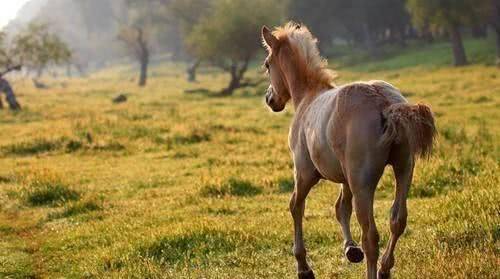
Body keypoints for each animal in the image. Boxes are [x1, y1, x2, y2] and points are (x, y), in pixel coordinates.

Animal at [260, 22, 436, 279]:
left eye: (267, 64)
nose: (270, 99)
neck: (307, 98)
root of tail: (385, 104)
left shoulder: (304, 173)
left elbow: (296, 206)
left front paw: (304, 268)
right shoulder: (346, 178)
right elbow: (341, 208)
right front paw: (350, 250)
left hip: (363, 183)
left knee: (370, 234)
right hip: (404, 169)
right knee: (397, 220)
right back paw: (384, 268)